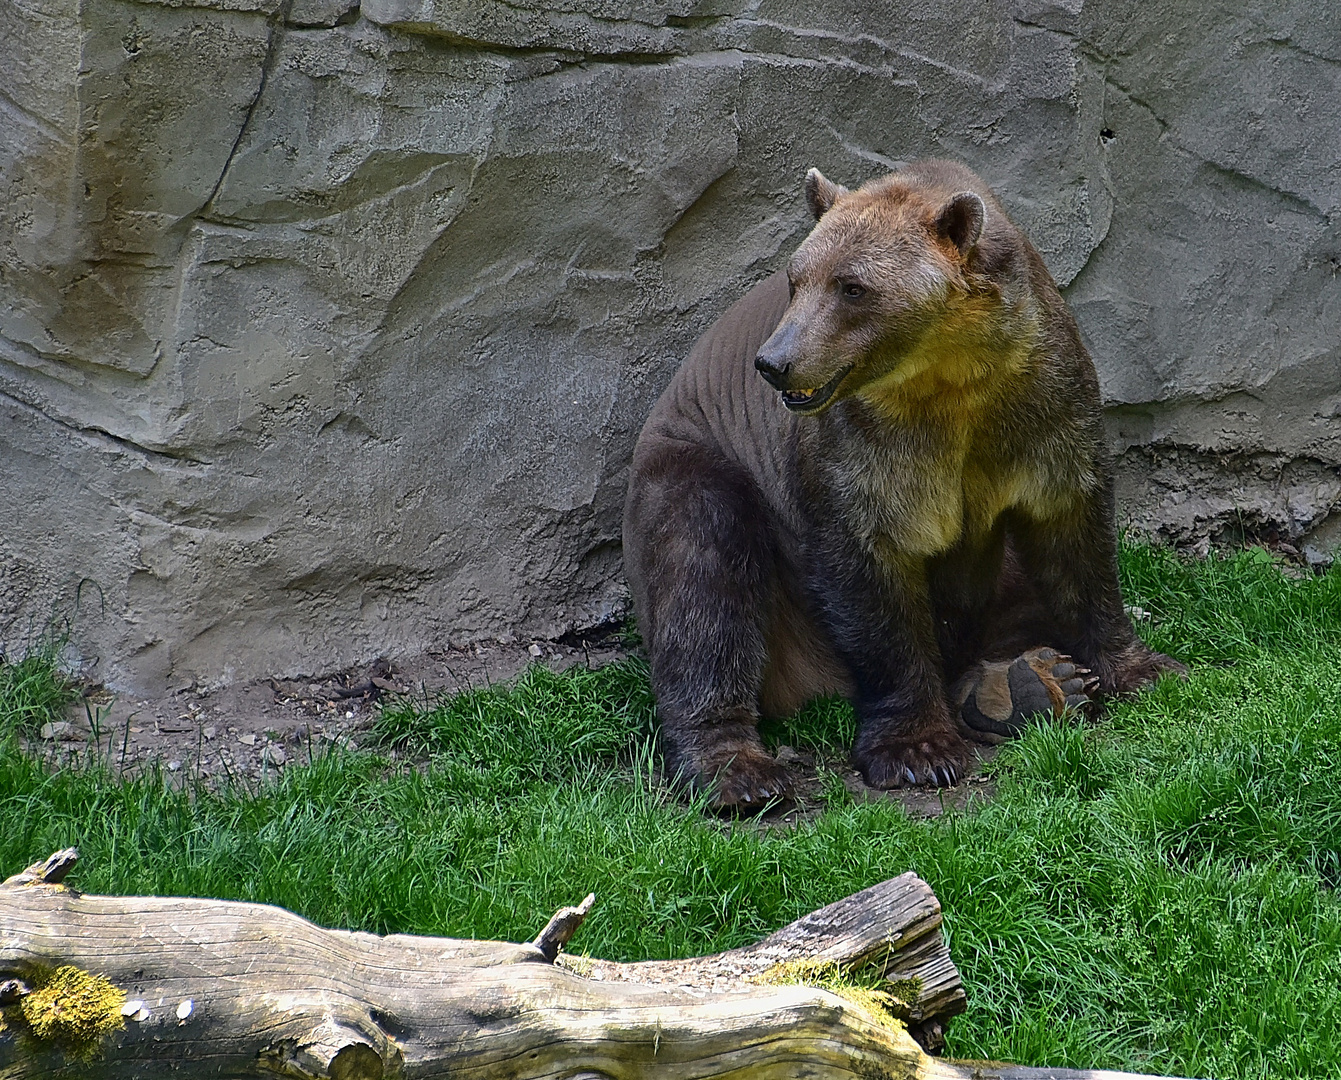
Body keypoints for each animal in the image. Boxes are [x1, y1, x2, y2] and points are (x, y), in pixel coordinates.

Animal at [622, 155, 1180, 804]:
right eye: (796, 279)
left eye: (852, 287)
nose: (774, 362)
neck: (951, 377)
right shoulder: (863, 448)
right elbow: (871, 575)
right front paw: (917, 749)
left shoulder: (1042, 400)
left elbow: (1072, 534)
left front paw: (1141, 667)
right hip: (701, 466)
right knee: (702, 578)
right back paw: (738, 769)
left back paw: (1026, 681)